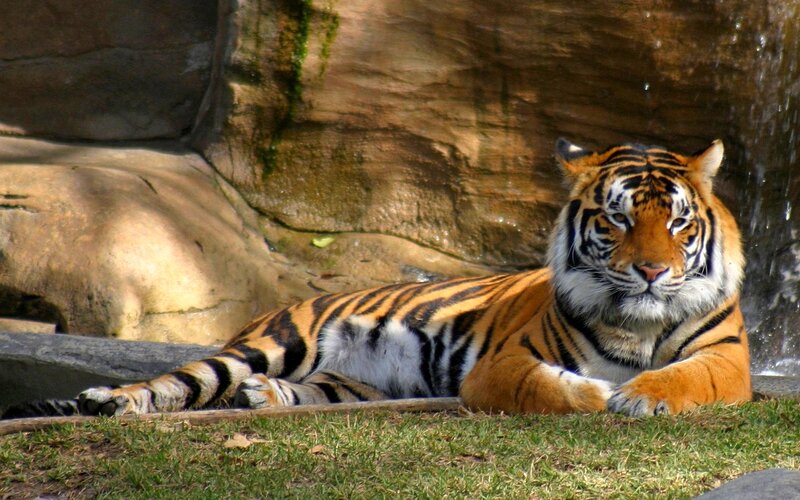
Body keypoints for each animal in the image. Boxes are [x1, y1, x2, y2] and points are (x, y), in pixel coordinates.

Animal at [2, 138, 751, 419]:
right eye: (618, 219)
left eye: (678, 223)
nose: (652, 271)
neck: (636, 321)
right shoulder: (508, 363)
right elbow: (554, 386)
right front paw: (600, 394)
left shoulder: (728, 360)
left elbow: (684, 378)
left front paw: (642, 396)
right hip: (271, 342)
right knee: (178, 381)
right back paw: (112, 400)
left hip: (348, 381)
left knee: (299, 391)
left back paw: (264, 398)